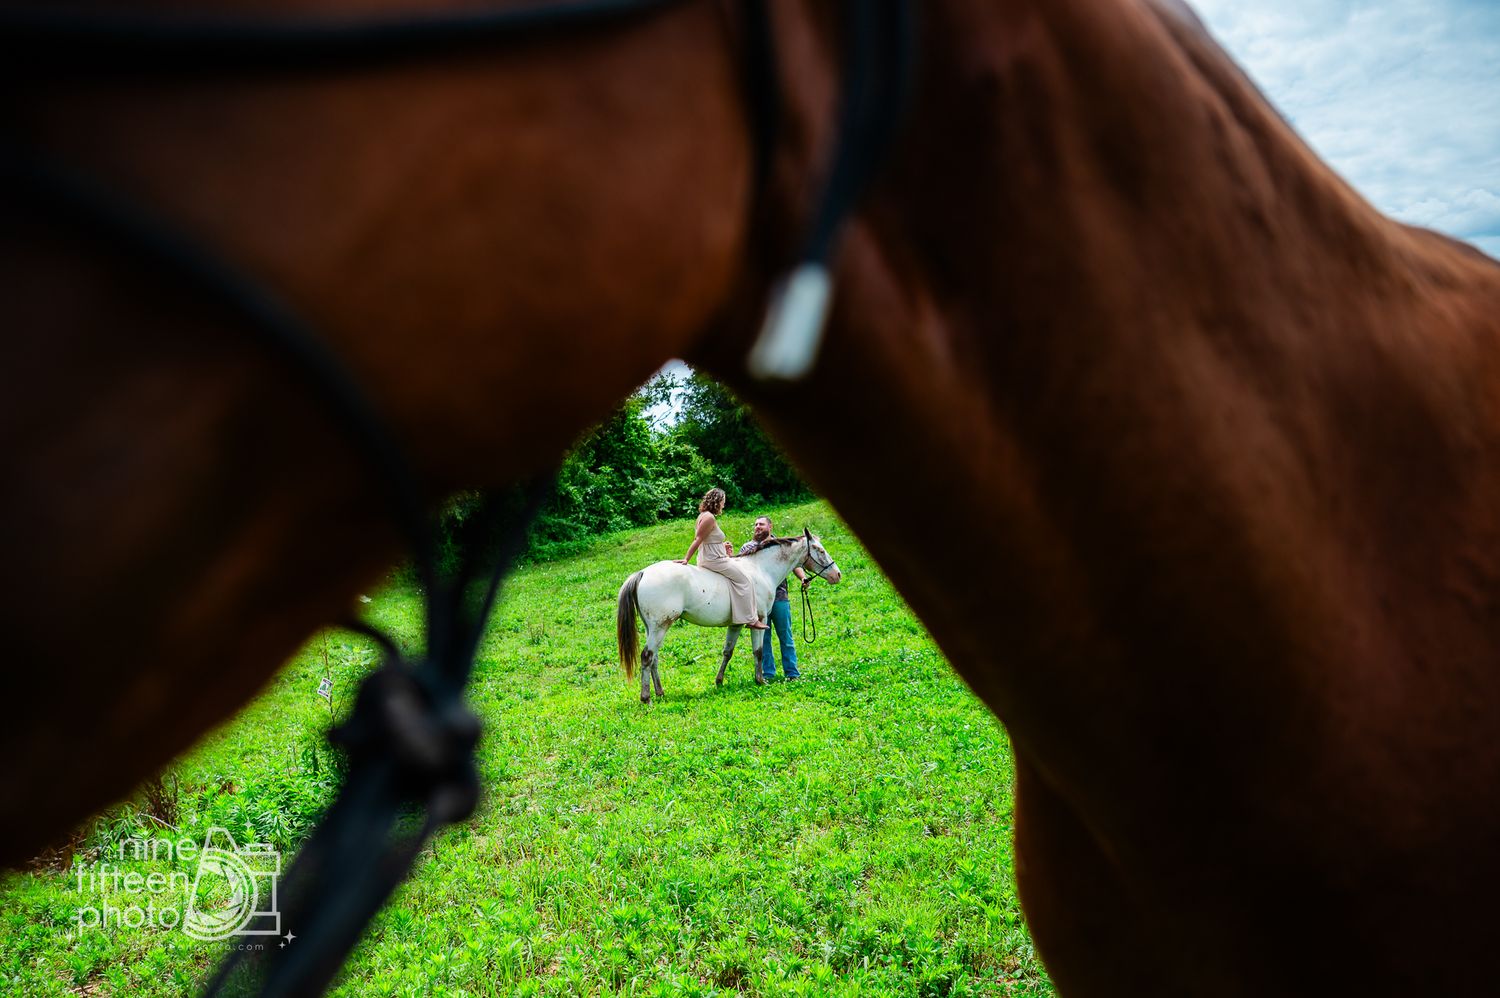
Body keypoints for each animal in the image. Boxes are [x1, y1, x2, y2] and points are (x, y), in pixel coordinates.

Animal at [616, 529, 841, 701]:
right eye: (821, 550)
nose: (837, 574)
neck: (760, 570)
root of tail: (643, 573)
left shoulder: (736, 624)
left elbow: (727, 652)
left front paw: (719, 681)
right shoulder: (760, 621)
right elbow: (759, 651)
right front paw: (760, 680)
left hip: (652, 628)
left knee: (654, 658)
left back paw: (660, 693)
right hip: (660, 627)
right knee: (647, 656)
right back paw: (646, 698)